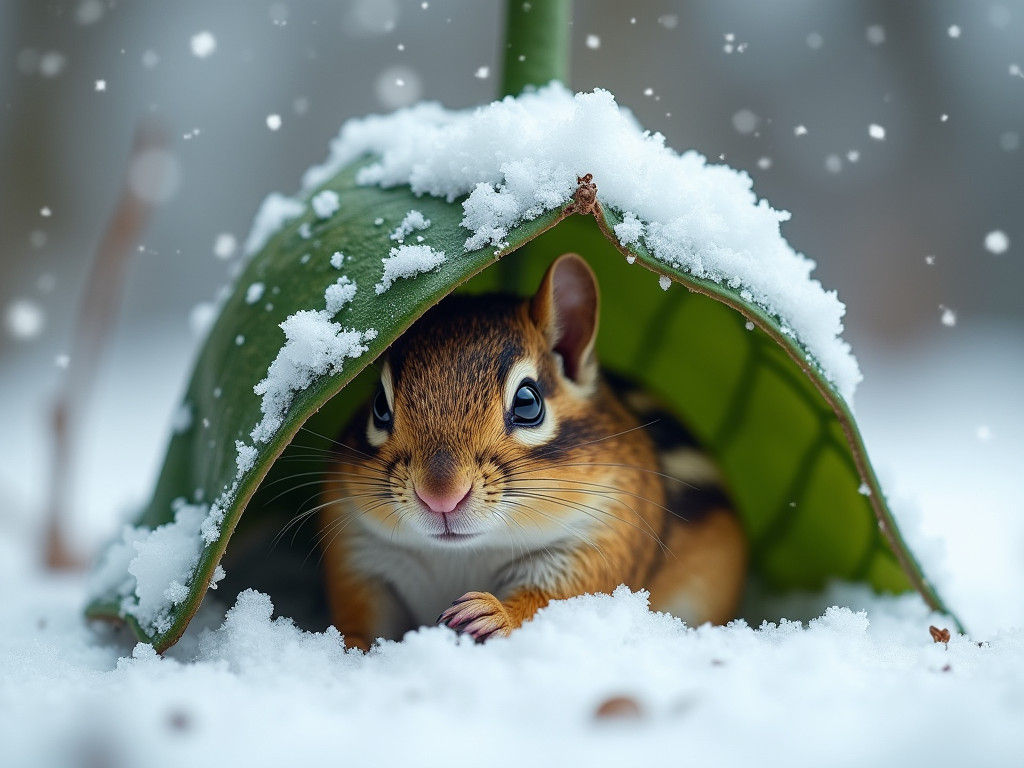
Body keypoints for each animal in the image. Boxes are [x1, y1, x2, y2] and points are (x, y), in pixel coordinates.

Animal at [319, 253, 747, 649]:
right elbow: (359, 618)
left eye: (528, 403)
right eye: (379, 406)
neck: (460, 556)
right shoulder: (356, 551)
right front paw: (347, 650)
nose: (441, 496)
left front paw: (494, 614)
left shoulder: (606, 533)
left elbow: (553, 600)